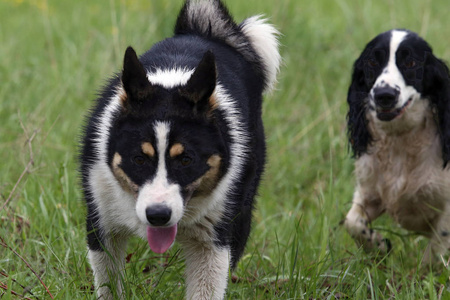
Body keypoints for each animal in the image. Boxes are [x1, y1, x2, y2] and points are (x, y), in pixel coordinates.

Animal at [79, 0, 280, 298]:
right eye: (139, 159)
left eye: (186, 160)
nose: (158, 216)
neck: (171, 82)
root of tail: (206, 32)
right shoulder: (101, 220)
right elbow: (109, 283)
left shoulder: (213, 239)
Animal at [344, 28, 450, 260]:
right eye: (373, 61)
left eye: (410, 63)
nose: (385, 95)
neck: (400, 140)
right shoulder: (370, 191)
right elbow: (353, 223)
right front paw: (379, 246)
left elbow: (435, 251)